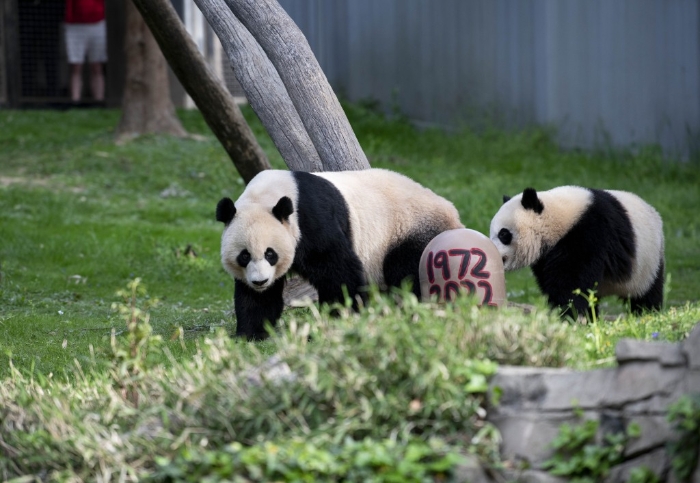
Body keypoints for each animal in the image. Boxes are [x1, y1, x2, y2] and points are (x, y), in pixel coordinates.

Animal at [213, 170, 464, 340]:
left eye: (270, 254)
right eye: (244, 256)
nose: (260, 281)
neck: (267, 195)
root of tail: (454, 215)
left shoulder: (311, 221)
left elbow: (338, 270)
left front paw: (342, 316)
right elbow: (257, 298)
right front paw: (251, 333)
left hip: (407, 230)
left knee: (408, 273)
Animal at [490, 187, 664, 320]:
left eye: (503, 234)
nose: (493, 250)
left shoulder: (589, 233)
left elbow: (571, 280)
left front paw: (567, 314)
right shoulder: (545, 256)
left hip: (648, 261)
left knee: (647, 293)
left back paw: (647, 314)